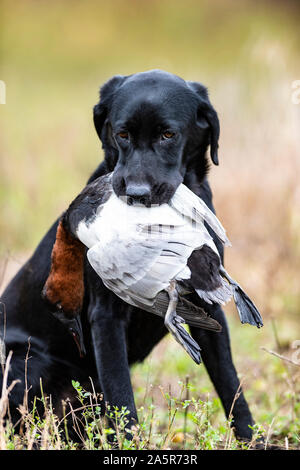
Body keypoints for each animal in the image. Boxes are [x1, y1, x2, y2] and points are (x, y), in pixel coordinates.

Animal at [0, 70, 255, 440]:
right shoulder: (106, 316)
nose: (137, 193)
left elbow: (230, 383)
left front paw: (254, 440)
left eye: (168, 134)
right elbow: (122, 398)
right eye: (121, 134)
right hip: (25, 361)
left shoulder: (209, 310)